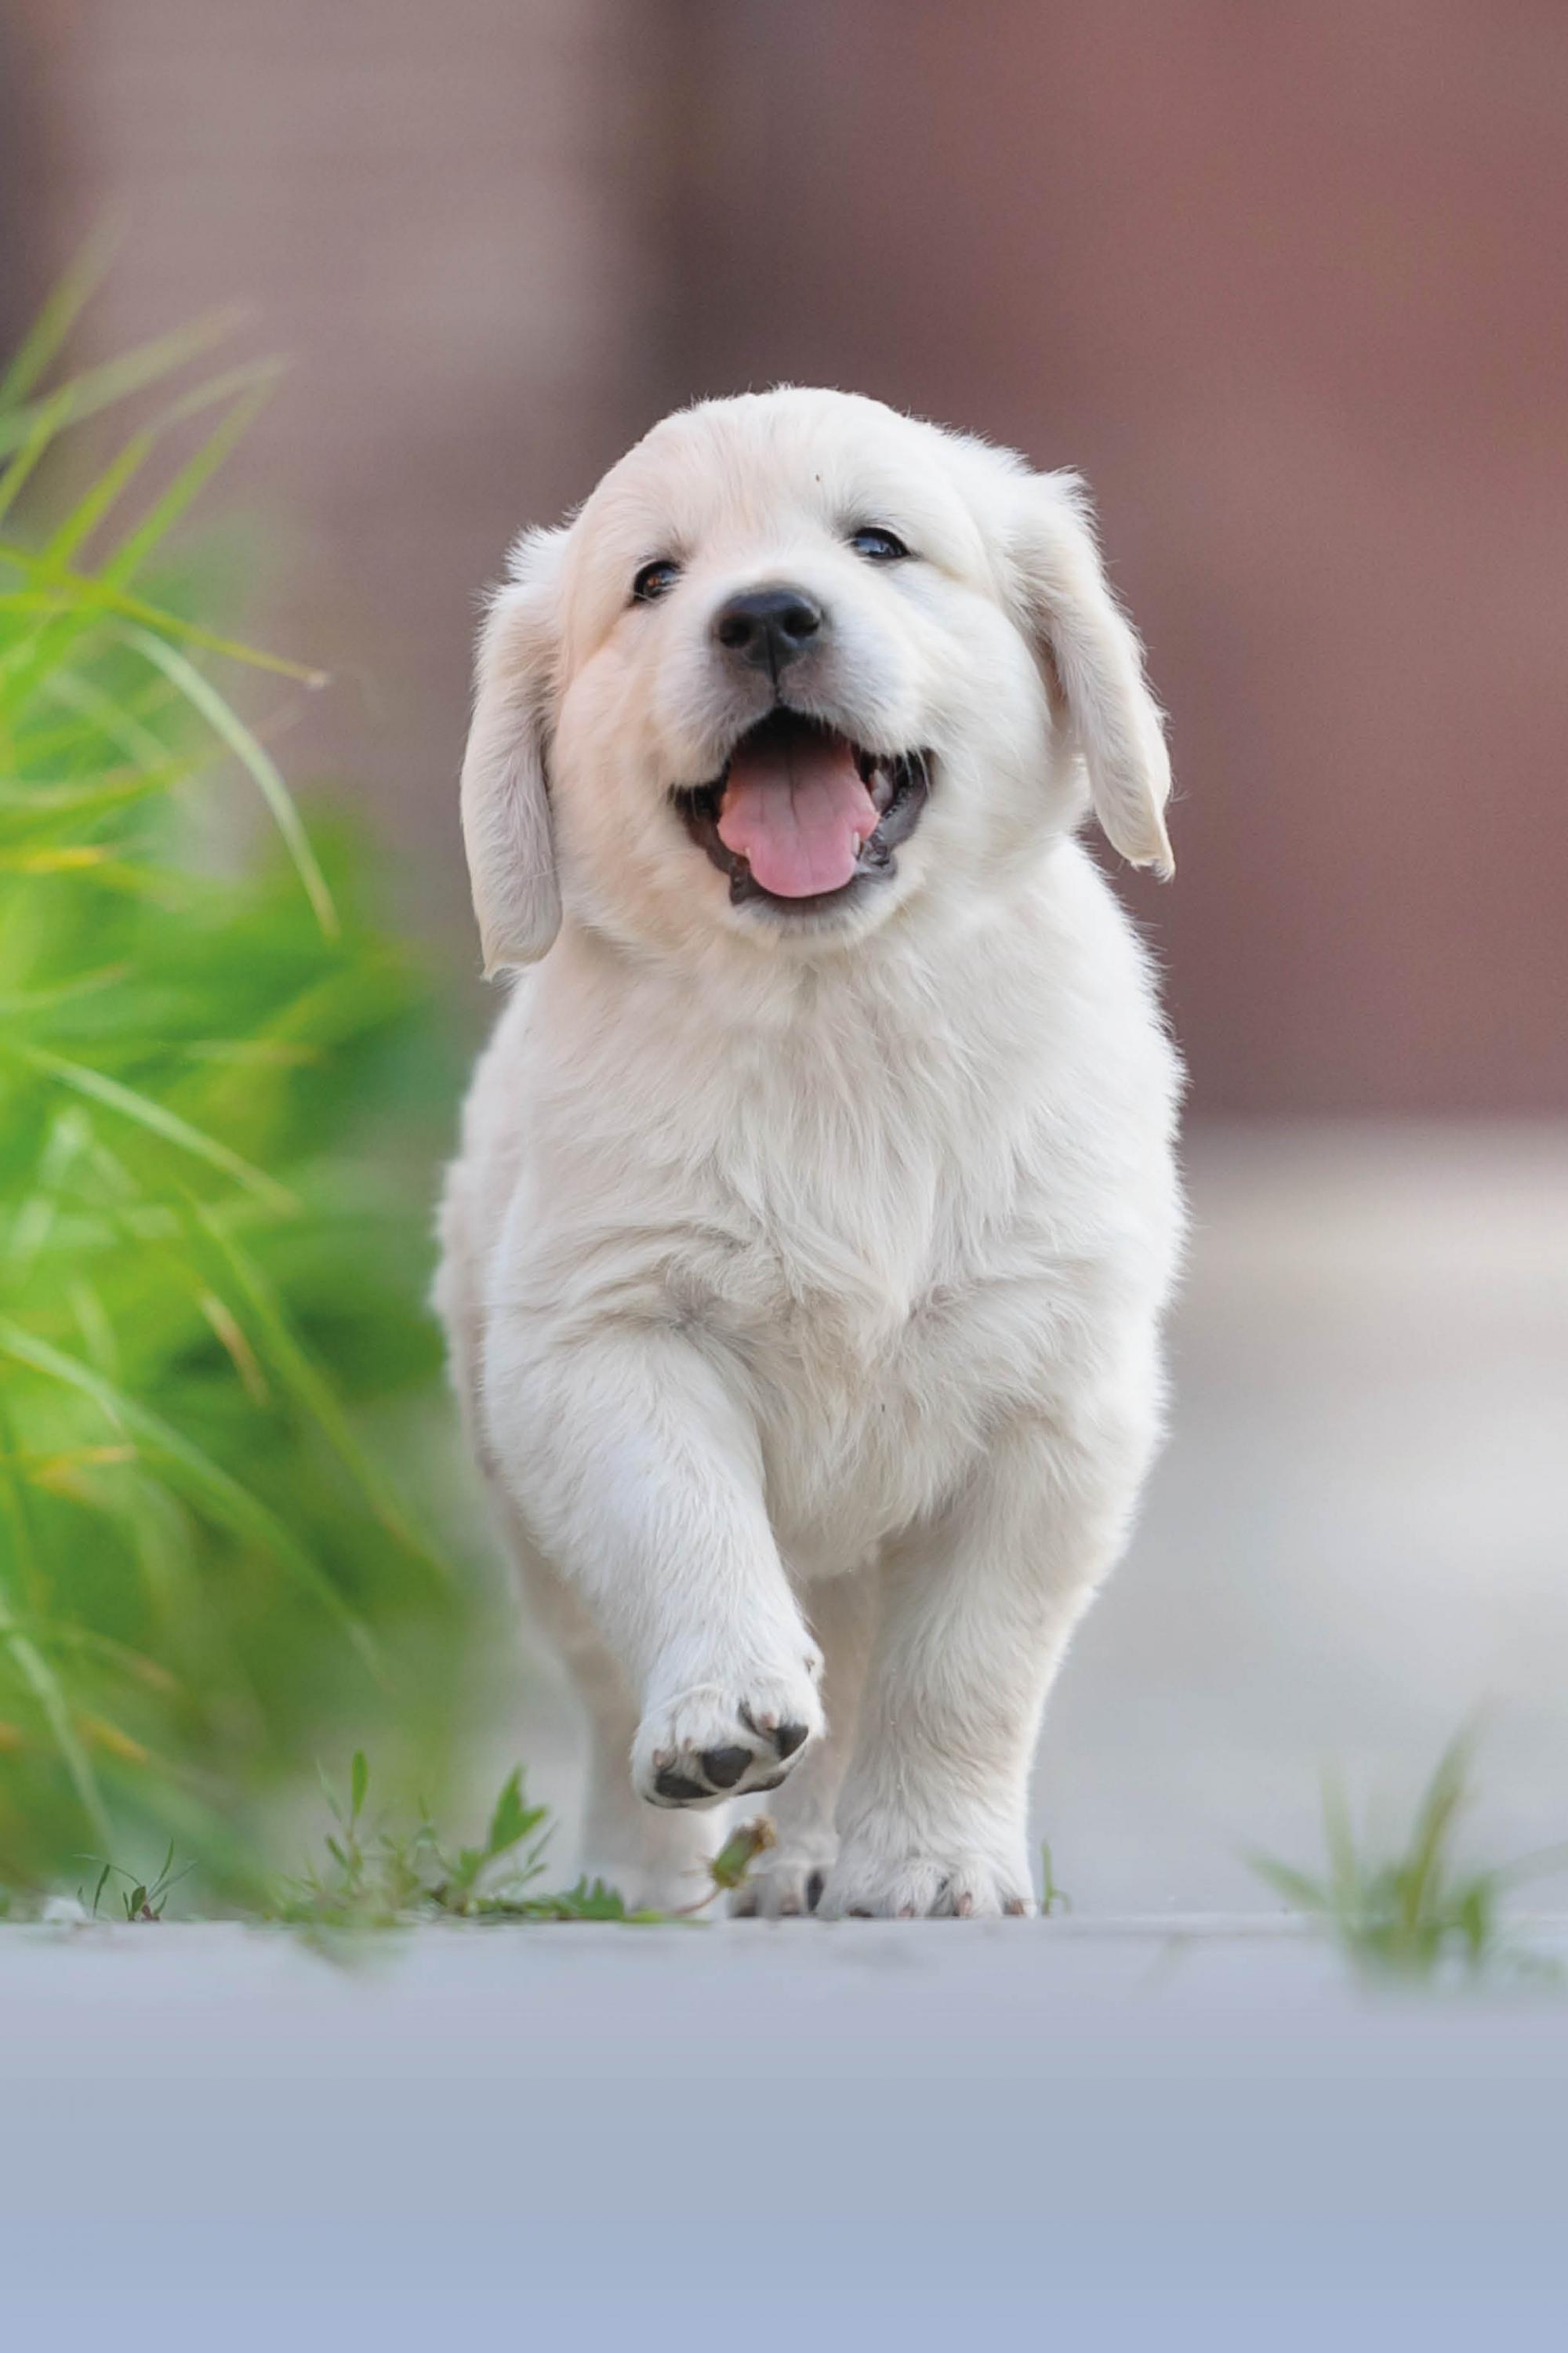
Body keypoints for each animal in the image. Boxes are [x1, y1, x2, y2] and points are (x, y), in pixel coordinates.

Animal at [433, 386, 1177, 1919]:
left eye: (878, 544)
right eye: (655, 580)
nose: (768, 616)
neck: (838, 1004)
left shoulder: (1057, 1401)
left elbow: (965, 1668)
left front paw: (934, 1860)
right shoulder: (604, 1341)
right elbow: (683, 1532)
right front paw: (719, 1713)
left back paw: (825, 1857)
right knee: (616, 1686)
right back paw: (643, 1878)